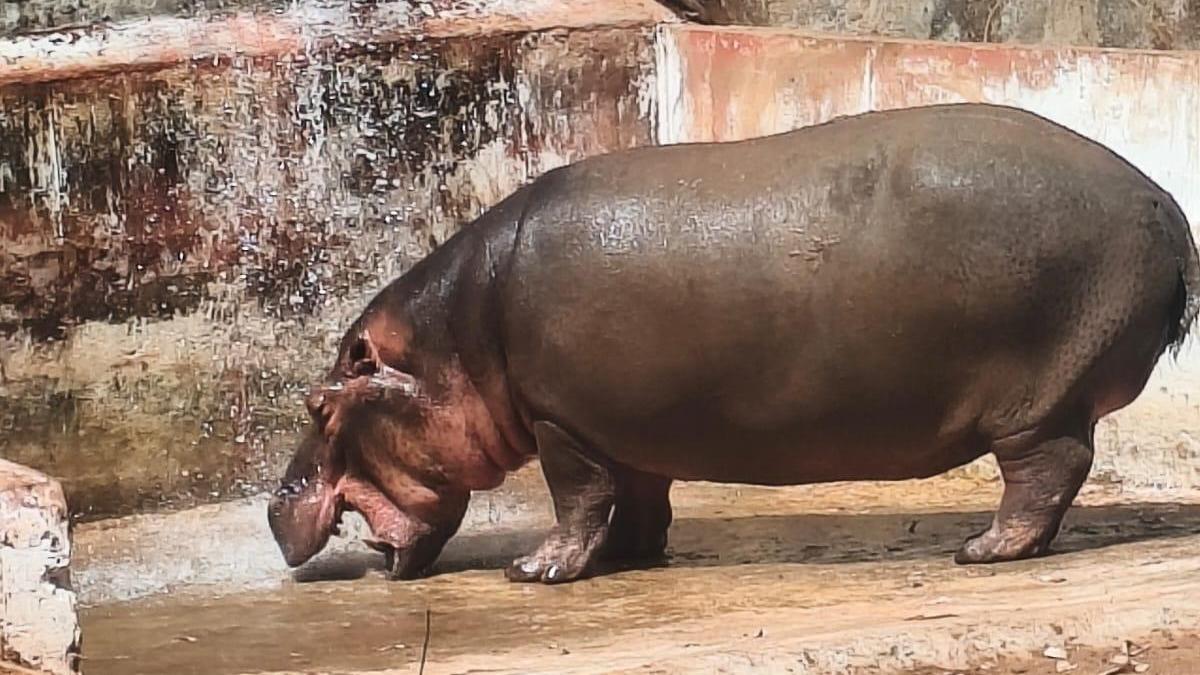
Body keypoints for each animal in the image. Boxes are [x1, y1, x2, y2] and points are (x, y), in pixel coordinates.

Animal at [268, 103, 1199, 584]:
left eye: (318, 402)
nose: (275, 500)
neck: (456, 336)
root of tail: (1164, 201)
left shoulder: (560, 422)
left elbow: (577, 499)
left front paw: (535, 569)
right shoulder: (618, 425)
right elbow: (639, 496)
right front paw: (633, 555)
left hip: (1039, 400)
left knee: (1048, 469)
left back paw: (982, 549)